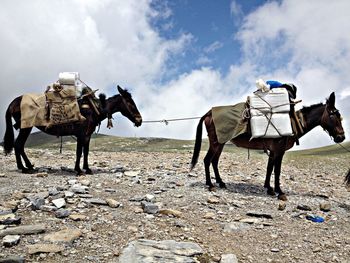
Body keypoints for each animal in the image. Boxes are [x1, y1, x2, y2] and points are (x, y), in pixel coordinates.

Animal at [2, 85, 142, 175]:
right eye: (130, 103)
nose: (139, 120)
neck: (93, 108)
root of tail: (13, 102)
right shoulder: (81, 135)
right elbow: (79, 152)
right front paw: (78, 170)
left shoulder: (87, 136)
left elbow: (86, 152)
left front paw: (87, 169)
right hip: (26, 127)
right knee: (18, 144)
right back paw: (24, 168)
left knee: (19, 145)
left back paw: (28, 166)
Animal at [190, 92, 346, 201]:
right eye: (333, 115)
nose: (342, 137)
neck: (292, 123)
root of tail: (209, 113)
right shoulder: (279, 151)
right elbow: (277, 170)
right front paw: (279, 192)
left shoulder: (273, 151)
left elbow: (269, 168)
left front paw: (269, 188)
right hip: (216, 142)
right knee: (207, 160)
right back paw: (210, 185)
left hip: (221, 143)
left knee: (214, 161)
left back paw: (221, 182)